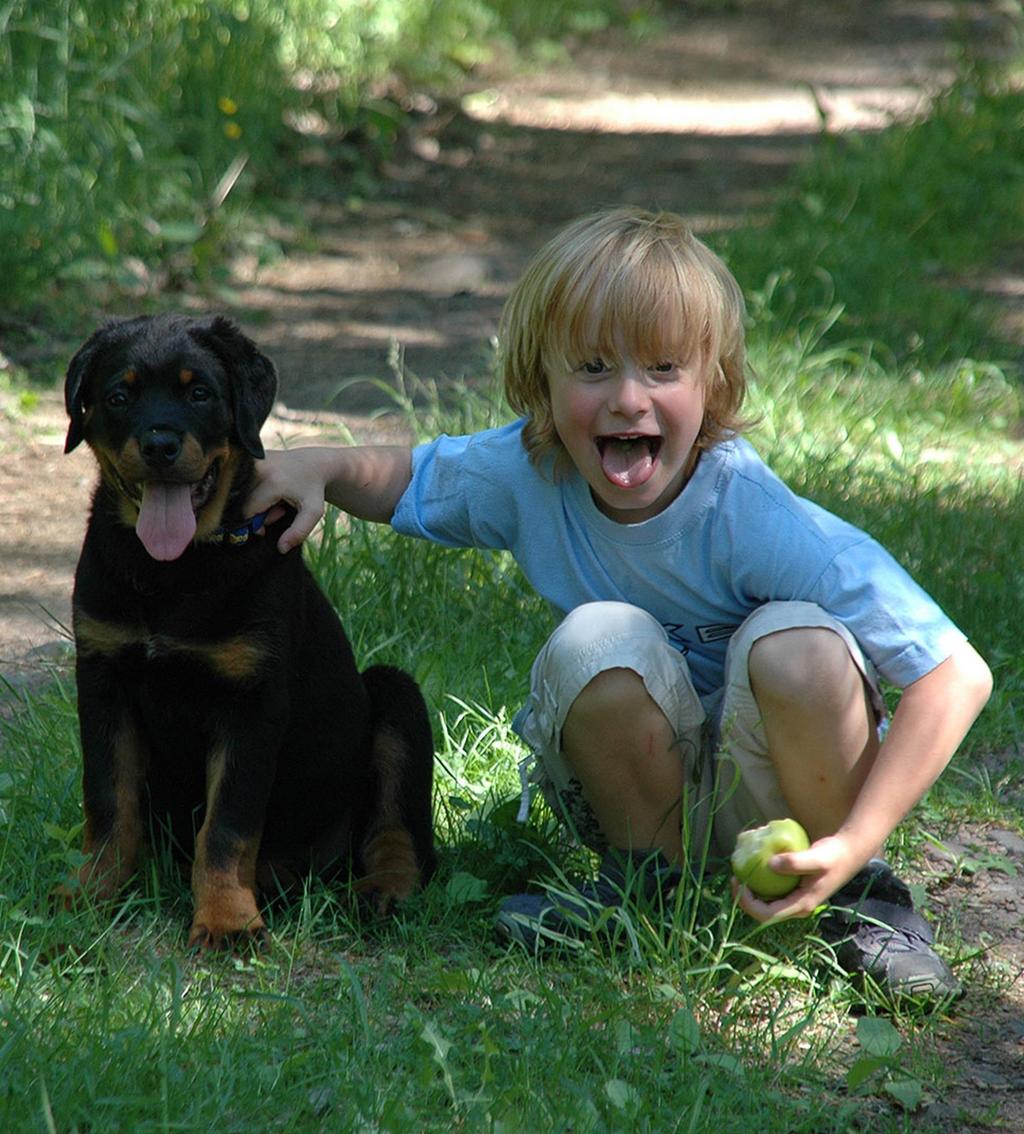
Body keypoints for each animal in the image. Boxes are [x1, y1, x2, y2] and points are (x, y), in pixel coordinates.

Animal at [58, 312, 435, 948]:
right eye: (118, 396)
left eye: (200, 394)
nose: (159, 445)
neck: (174, 571)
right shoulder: (103, 676)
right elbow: (108, 798)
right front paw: (92, 890)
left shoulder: (252, 701)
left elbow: (228, 824)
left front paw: (227, 921)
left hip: (395, 697)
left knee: (396, 832)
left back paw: (379, 891)